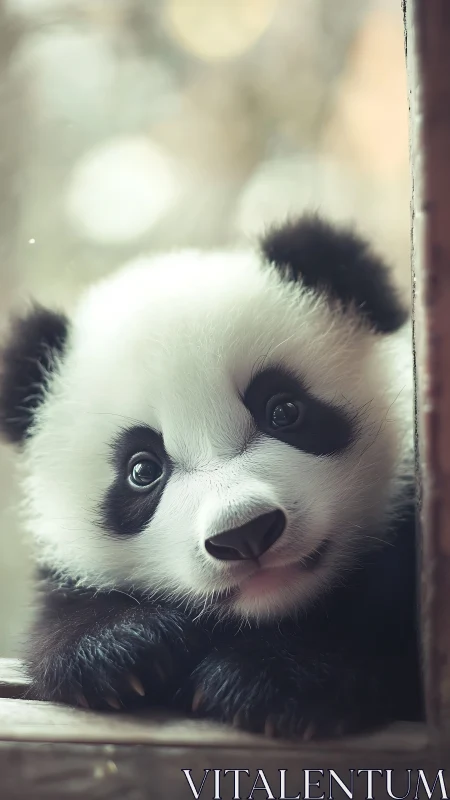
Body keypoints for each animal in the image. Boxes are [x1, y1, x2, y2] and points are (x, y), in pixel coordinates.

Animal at [0, 215, 421, 740]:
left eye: (283, 411)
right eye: (143, 470)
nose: (245, 533)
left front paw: (267, 678)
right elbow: (63, 620)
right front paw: (124, 649)